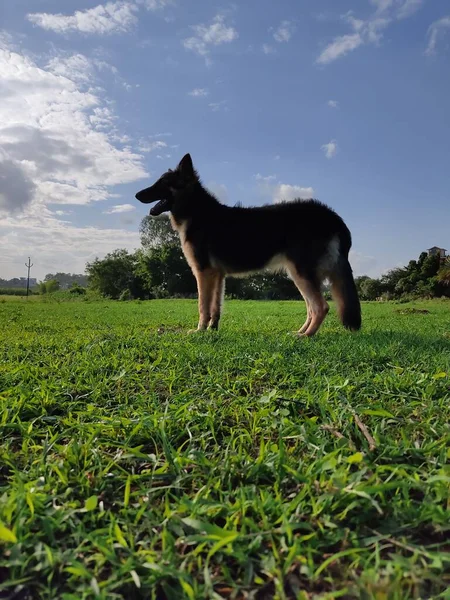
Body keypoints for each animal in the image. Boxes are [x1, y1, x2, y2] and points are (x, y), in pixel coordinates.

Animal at [134, 154, 362, 338]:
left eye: (163, 183)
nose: (136, 195)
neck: (195, 210)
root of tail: (332, 217)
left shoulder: (203, 272)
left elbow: (202, 306)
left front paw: (199, 331)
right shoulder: (217, 276)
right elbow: (215, 307)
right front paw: (212, 330)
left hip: (301, 273)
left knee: (321, 307)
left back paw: (306, 336)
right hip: (299, 275)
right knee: (311, 307)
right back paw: (301, 331)